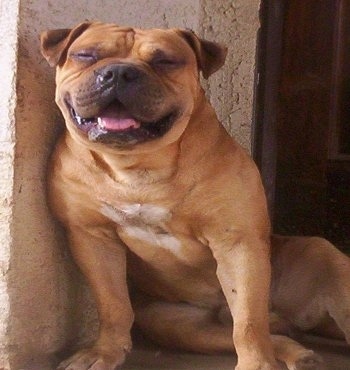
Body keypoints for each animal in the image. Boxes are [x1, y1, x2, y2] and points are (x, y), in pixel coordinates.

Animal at [39, 21, 322, 368]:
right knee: (259, 334)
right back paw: (298, 353)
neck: (138, 166)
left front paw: (256, 364)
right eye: (86, 55)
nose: (119, 72)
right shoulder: (92, 238)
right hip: (179, 326)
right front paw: (104, 352)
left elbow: (249, 322)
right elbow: (113, 304)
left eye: (165, 61)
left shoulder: (237, 243)